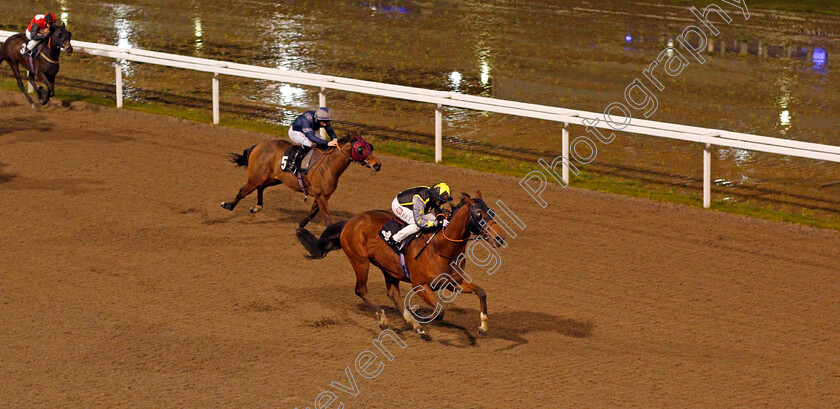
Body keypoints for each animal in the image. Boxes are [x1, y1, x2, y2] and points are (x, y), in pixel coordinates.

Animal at [221, 130, 382, 228]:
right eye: (360, 149)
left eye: (371, 146)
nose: (377, 165)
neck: (328, 166)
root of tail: (259, 145)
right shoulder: (321, 195)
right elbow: (327, 219)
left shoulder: (322, 195)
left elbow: (312, 214)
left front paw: (300, 225)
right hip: (256, 177)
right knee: (243, 191)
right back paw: (228, 205)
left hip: (274, 178)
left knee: (260, 188)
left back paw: (257, 207)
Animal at [296, 190, 506, 334]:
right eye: (478, 215)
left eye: (492, 212)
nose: (500, 238)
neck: (441, 247)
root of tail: (351, 221)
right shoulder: (420, 285)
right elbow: (439, 311)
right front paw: (420, 313)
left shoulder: (453, 283)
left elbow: (481, 292)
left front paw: (483, 327)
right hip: (360, 260)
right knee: (361, 290)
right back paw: (384, 318)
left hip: (389, 269)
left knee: (393, 294)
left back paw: (414, 323)